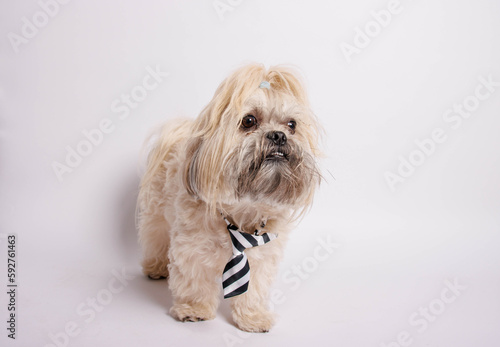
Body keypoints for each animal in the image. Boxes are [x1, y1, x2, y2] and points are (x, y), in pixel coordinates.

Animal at [138, 64, 320, 334]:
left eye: (292, 124)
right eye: (249, 120)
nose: (278, 135)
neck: (242, 211)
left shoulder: (261, 255)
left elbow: (252, 289)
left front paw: (253, 317)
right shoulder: (192, 249)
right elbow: (195, 281)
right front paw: (194, 309)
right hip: (157, 214)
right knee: (155, 237)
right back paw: (155, 267)